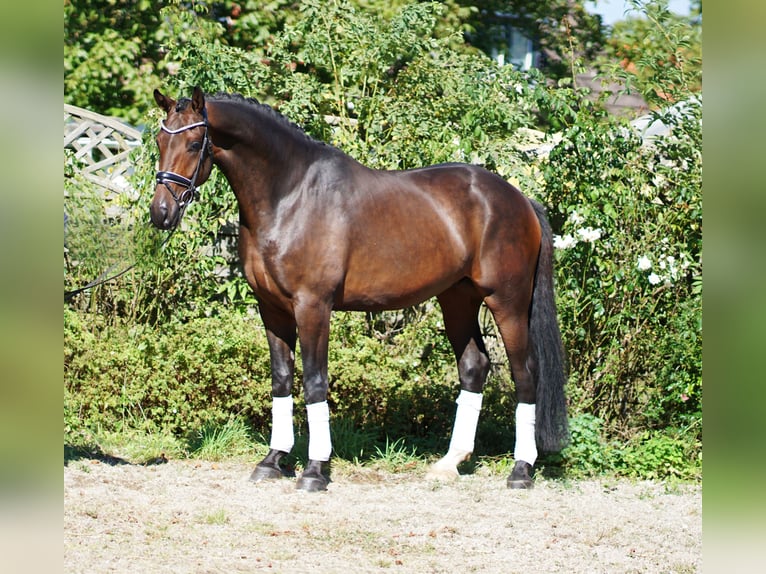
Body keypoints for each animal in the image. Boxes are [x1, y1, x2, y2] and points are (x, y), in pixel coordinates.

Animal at [152, 88, 568, 492]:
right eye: (159, 140)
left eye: (194, 143)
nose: (161, 213)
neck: (289, 195)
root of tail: (520, 200)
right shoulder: (271, 309)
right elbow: (281, 379)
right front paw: (272, 461)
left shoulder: (312, 306)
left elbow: (315, 382)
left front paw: (314, 470)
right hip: (457, 299)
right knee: (473, 367)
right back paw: (449, 463)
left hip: (507, 302)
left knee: (525, 373)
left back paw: (521, 470)